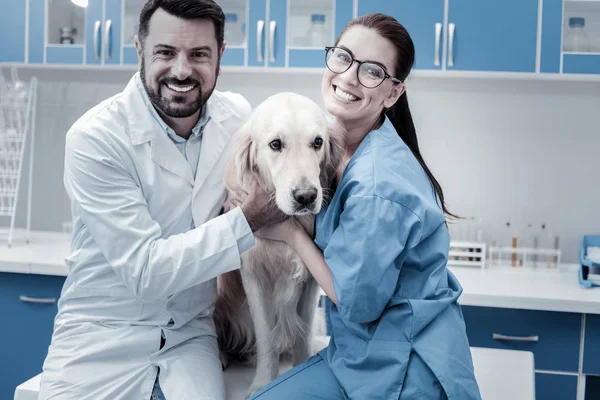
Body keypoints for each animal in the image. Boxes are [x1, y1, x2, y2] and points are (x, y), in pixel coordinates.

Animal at [214, 92, 342, 396]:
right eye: (275, 144)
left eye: (317, 142)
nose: (306, 196)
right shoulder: (253, 276)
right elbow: (265, 337)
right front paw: (263, 382)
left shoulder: (310, 281)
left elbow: (303, 334)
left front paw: (302, 368)